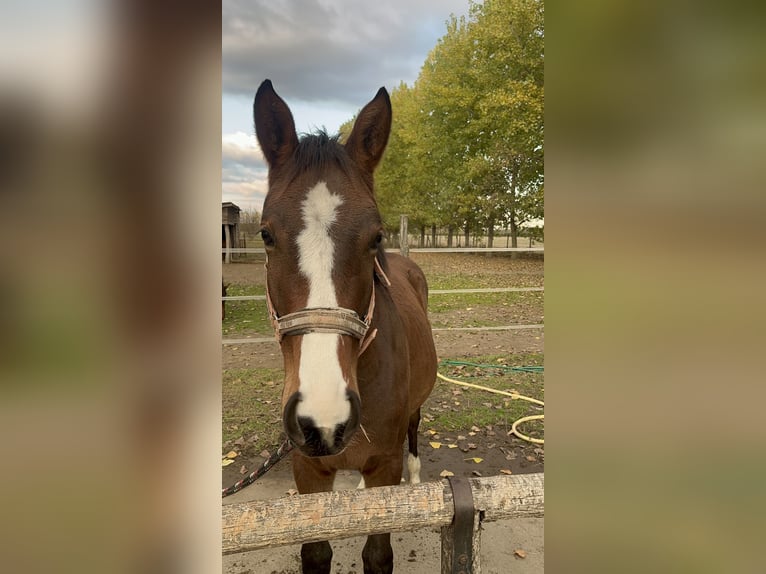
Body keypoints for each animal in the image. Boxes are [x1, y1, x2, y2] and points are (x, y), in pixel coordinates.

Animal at [254, 81, 438, 574]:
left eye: (376, 237)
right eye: (265, 234)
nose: (324, 419)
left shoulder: (384, 467)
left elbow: (377, 554)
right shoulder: (307, 470)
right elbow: (315, 552)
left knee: (415, 427)